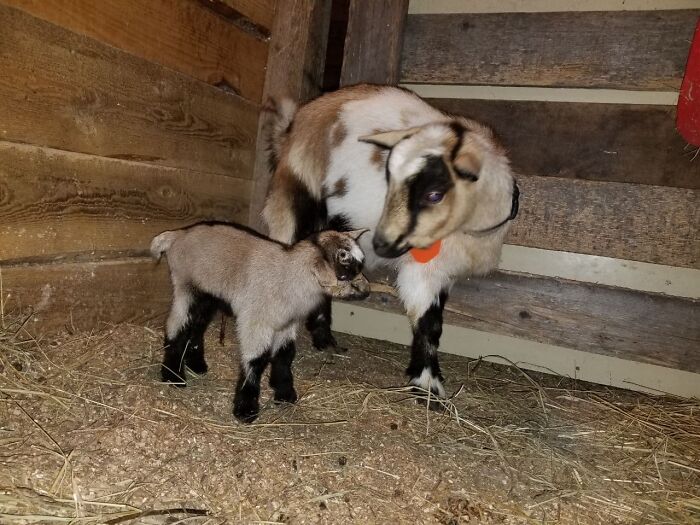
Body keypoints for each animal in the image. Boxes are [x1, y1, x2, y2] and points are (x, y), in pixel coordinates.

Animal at [151, 222, 369, 422]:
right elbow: (256, 360)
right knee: (177, 326)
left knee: (196, 326)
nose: (366, 291)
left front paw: (284, 393)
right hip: (186, 289)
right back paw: (173, 377)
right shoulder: (256, 321)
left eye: (360, 265)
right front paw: (246, 409)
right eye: (345, 271)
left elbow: (285, 355)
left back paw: (196, 365)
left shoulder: (286, 324)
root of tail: (177, 235)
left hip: (208, 296)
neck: (290, 276)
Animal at [262, 84, 519, 404]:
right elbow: (427, 324)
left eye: (435, 194)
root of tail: (292, 129)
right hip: (293, 207)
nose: (383, 243)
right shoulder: (423, 271)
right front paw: (428, 388)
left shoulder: (445, 271)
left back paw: (325, 340)